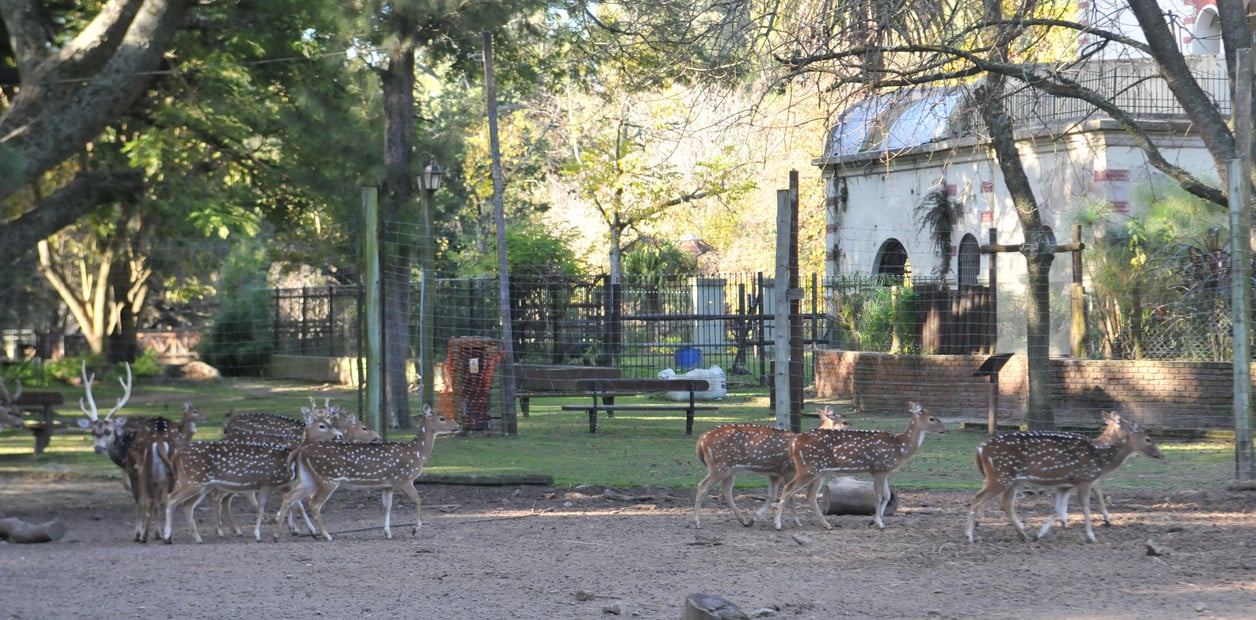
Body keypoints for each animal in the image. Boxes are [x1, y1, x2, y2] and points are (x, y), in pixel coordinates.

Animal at [272, 404, 459, 539]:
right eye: (442, 418)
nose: (457, 426)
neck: (417, 454)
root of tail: (301, 451)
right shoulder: (404, 478)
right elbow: (418, 499)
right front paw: (415, 528)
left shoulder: (388, 484)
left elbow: (387, 505)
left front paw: (388, 532)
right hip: (327, 478)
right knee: (313, 503)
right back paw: (326, 535)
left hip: (307, 478)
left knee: (289, 497)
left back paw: (277, 534)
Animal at [693, 406, 849, 527]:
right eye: (845, 422)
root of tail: (701, 440)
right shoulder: (789, 470)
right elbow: (790, 495)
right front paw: (797, 521)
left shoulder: (774, 473)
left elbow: (772, 495)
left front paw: (755, 518)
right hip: (719, 467)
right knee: (702, 485)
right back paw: (697, 522)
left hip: (730, 470)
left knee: (726, 491)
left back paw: (744, 520)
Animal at [768, 404, 944, 529]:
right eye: (932, 418)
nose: (945, 430)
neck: (901, 448)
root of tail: (793, 443)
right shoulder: (879, 468)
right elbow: (879, 496)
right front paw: (879, 523)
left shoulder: (882, 471)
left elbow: (886, 496)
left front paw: (874, 521)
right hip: (808, 469)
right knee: (788, 489)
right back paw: (778, 524)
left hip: (819, 473)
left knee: (809, 495)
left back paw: (826, 524)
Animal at [964, 416, 1160, 542]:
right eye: (1148, 439)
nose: (1160, 454)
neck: (1101, 459)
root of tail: (980, 448)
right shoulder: (1084, 479)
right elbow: (1085, 507)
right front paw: (1092, 536)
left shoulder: (1065, 484)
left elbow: (1058, 509)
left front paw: (1039, 534)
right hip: (1001, 476)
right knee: (978, 498)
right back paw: (969, 536)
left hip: (1013, 480)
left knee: (1005, 503)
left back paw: (1023, 535)